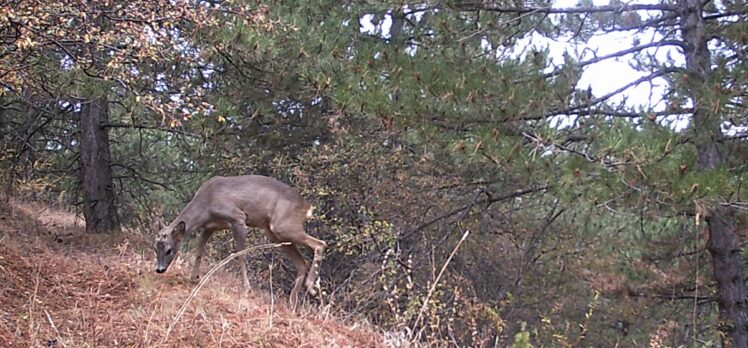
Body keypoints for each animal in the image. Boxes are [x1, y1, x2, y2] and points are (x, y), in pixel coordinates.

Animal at [153, 174, 328, 308]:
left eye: (168, 250)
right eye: (155, 248)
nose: (159, 269)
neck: (206, 204)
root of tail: (308, 207)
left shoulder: (238, 218)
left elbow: (240, 254)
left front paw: (247, 287)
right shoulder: (210, 227)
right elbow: (199, 250)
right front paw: (193, 277)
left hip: (282, 226)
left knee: (320, 244)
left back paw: (311, 287)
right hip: (275, 233)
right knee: (302, 262)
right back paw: (292, 302)